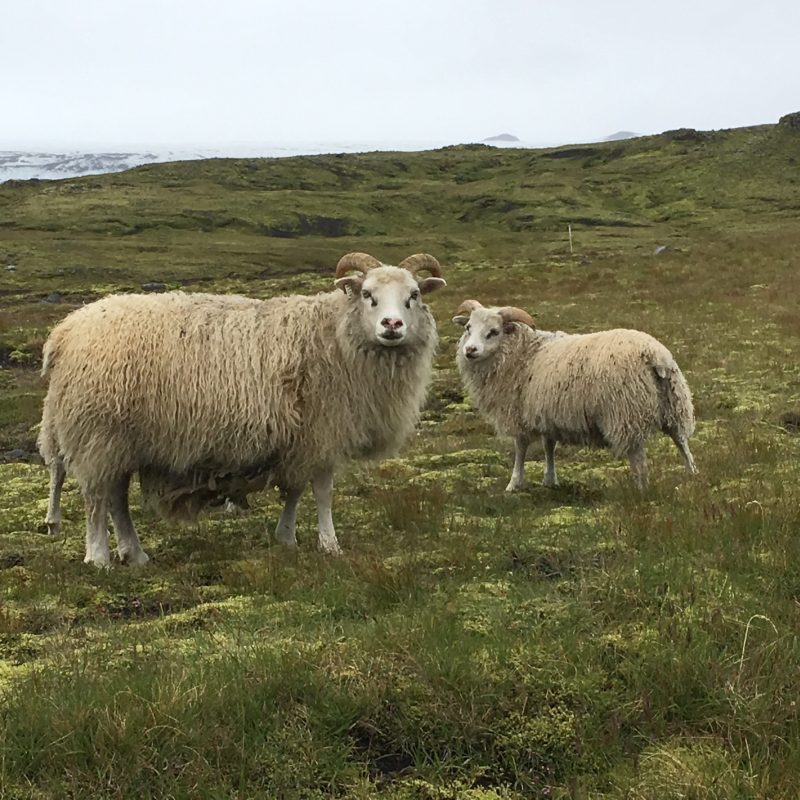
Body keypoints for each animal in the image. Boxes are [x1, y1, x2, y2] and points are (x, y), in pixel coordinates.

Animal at [37, 253, 446, 564]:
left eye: (413, 295)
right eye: (367, 294)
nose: (391, 325)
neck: (335, 335)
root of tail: (65, 332)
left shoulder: (299, 437)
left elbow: (294, 490)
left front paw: (286, 536)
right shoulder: (322, 430)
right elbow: (321, 491)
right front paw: (329, 544)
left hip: (121, 440)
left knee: (117, 499)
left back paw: (135, 555)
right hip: (99, 433)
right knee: (96, 498)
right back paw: (98, 557)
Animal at [454, 298, 696, 490]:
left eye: (493, 332)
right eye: (468, 328)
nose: (470, 350)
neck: (524, 353)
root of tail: (655, 355)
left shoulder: (519, 413)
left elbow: (520, 450)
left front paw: (514, 484)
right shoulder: (545, 413)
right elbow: (548, 446)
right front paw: (550, 480)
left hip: (626, 411)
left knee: (637, 455)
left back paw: (641, 488)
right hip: (674, 404)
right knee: (681, 442)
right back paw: (693, 475)